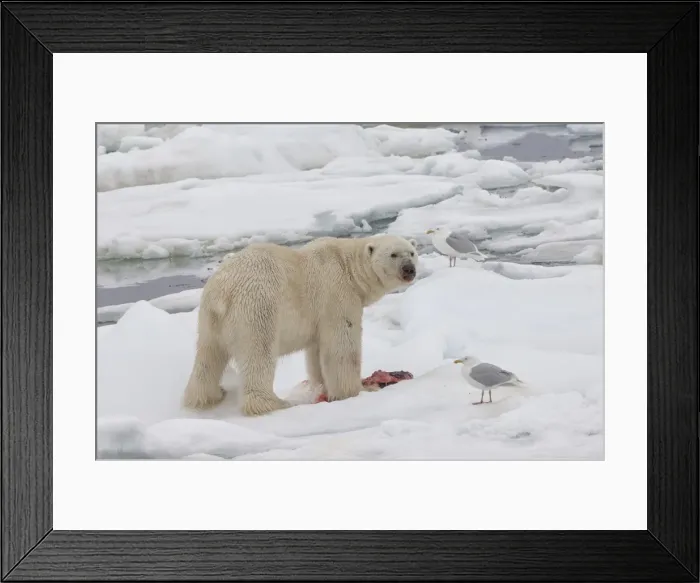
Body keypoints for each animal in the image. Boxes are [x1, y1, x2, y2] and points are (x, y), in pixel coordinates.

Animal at [182, 234, 418, 416]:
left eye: (412, 252)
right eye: (393, 254)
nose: (409, 269)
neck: (348, 267)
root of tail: (220, 292)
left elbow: (316, 352)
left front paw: (322, 387)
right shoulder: (337, 295)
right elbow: (342, 347)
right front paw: (356, 390)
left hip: (209, 321)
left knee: (208, 357)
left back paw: (208, 396)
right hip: (257, 308)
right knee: (258, 354)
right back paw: (274, 403)